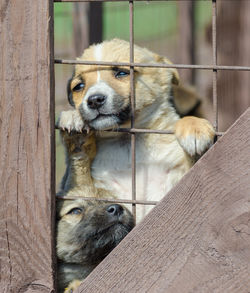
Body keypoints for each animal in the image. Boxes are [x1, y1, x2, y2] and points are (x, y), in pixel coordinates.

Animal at [57, 38, 215, 221]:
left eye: (122, 73)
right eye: (79, 86)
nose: (94, 100)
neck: (126, 143)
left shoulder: (181, 181)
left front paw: (195, 129)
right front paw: (73, 120)